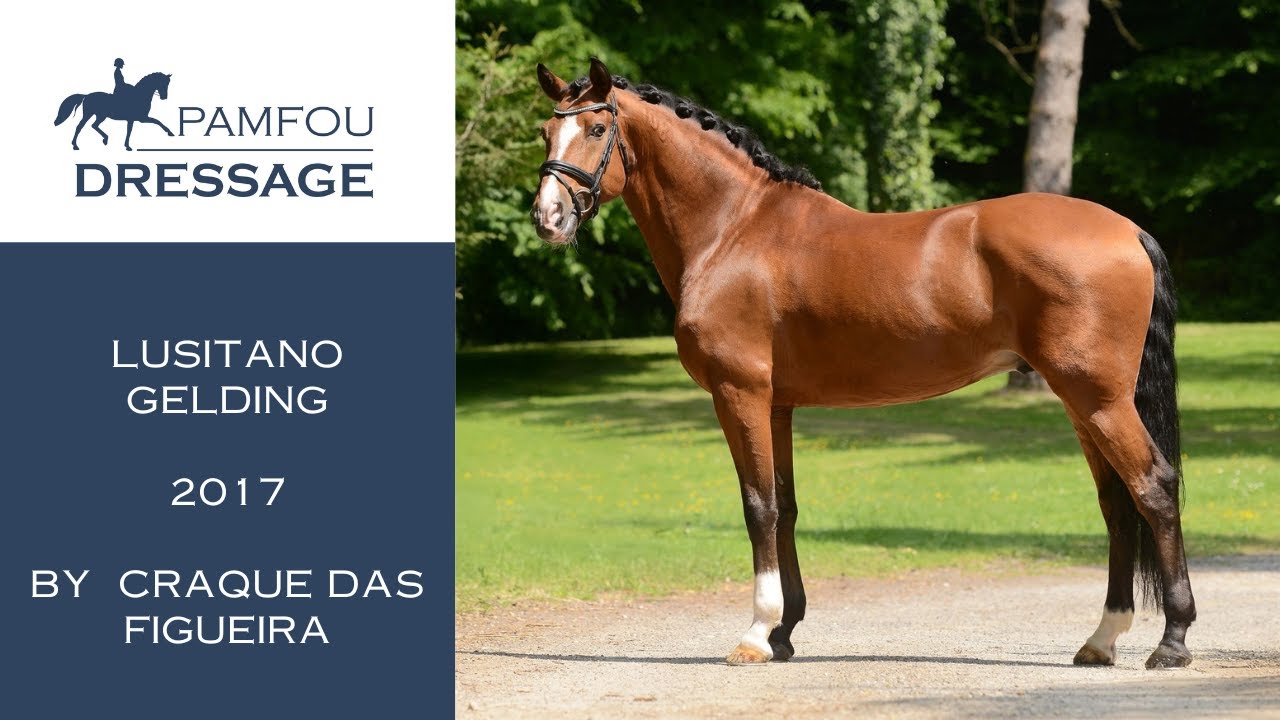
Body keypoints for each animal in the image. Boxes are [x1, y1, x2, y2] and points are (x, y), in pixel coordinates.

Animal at [530, 58, 1195, 670]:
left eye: (596, 128)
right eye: (545, 131)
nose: (548, 218)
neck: (734, 229)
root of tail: (1128, 230)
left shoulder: (739, 393)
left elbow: (758, 506)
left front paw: (756, 634)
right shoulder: (778, 404)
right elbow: (786, 507)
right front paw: (785, 632)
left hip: (1099, 400)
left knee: (1153, 488)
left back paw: (1172, 640)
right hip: (1083, 403)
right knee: (1117, 505)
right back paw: (1101, 640)